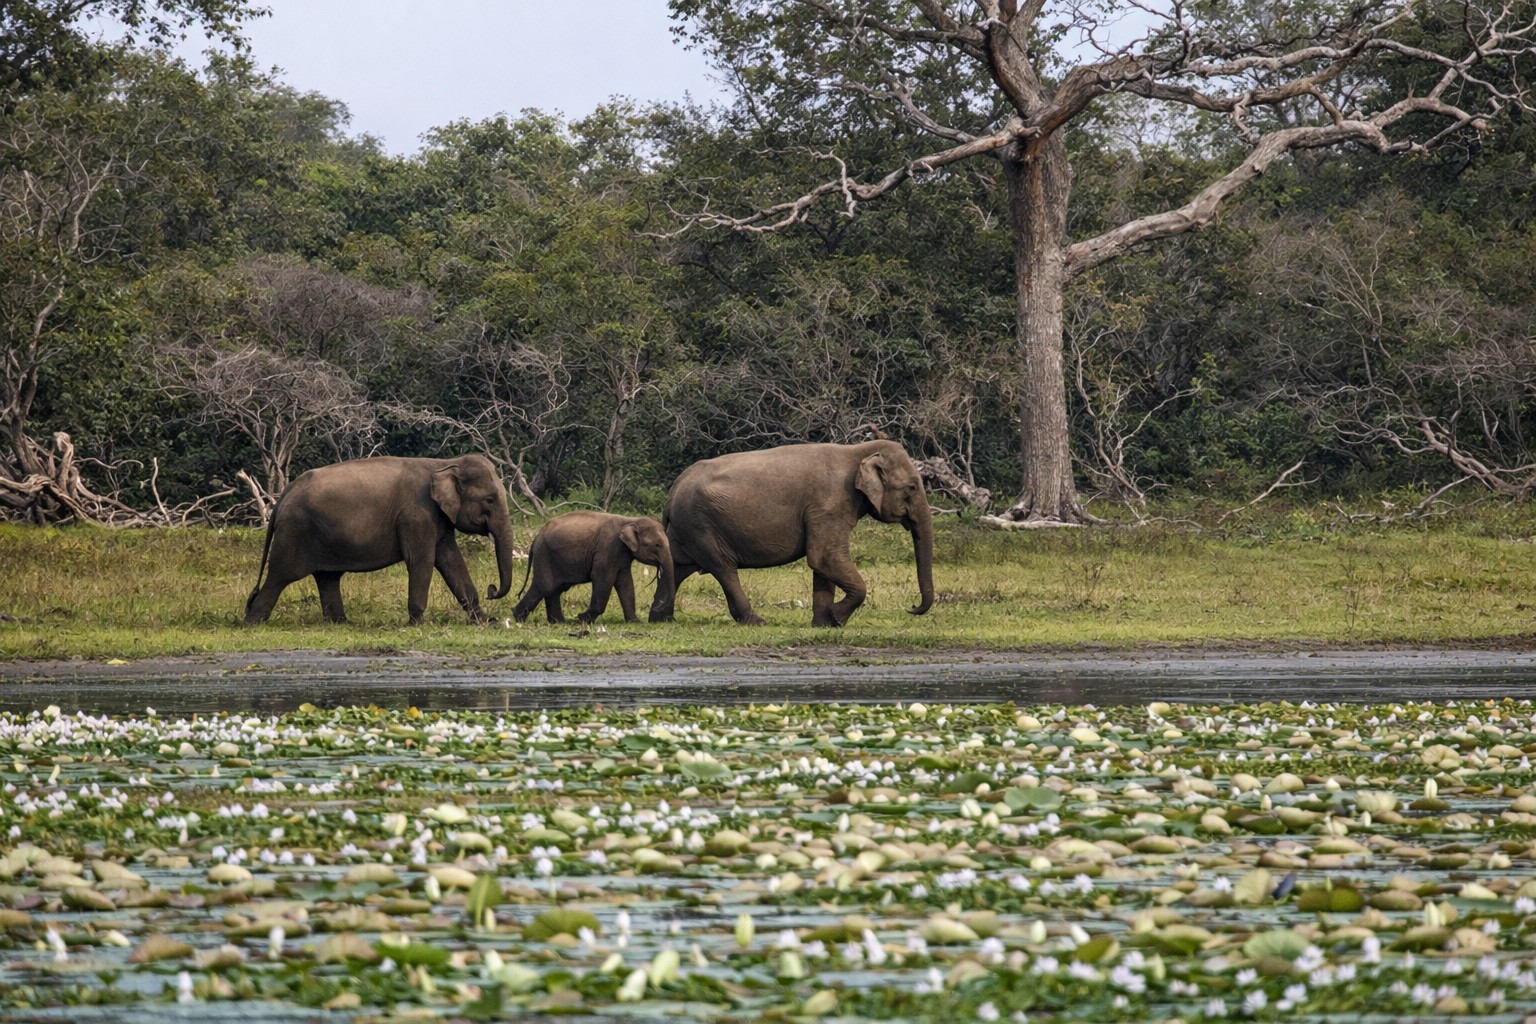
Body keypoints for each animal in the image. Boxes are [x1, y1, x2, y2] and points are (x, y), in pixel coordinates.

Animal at [243, 454, 516, 626]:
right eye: (490, 500)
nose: (492, 590)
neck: (445, 463)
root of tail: (283, 496)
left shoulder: (436, 518)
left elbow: (451, 561)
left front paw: (485, 621)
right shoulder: (416, 514)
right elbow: (421, 561)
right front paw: (418, 623)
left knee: (327, 578)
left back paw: (341, 623)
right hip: (293, 533)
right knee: (280, 576)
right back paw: (253, 623)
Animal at [513, 511, 675, 624]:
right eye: (657, 545)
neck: (631, 520)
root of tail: (535, 538)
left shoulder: (622, 555)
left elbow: (626, 583)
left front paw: (634, 622)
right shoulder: (608, 548)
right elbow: (603, 579)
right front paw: (581, 618)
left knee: (555, 589)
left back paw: (559, 622)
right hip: (544, 554)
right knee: (545, 585)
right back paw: (518, 618)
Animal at [651, 439, 935, 627]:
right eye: (911, 487)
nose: (911, 608)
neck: (857, 451)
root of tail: (674, 489)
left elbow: (823, 564)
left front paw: (823, 625)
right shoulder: (829, 506)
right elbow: (824, 557)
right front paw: (836, 618)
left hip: (688, 526)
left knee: (677, 566)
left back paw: (661, 619)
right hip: (701, 525)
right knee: (723, 568)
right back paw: (757, 622)